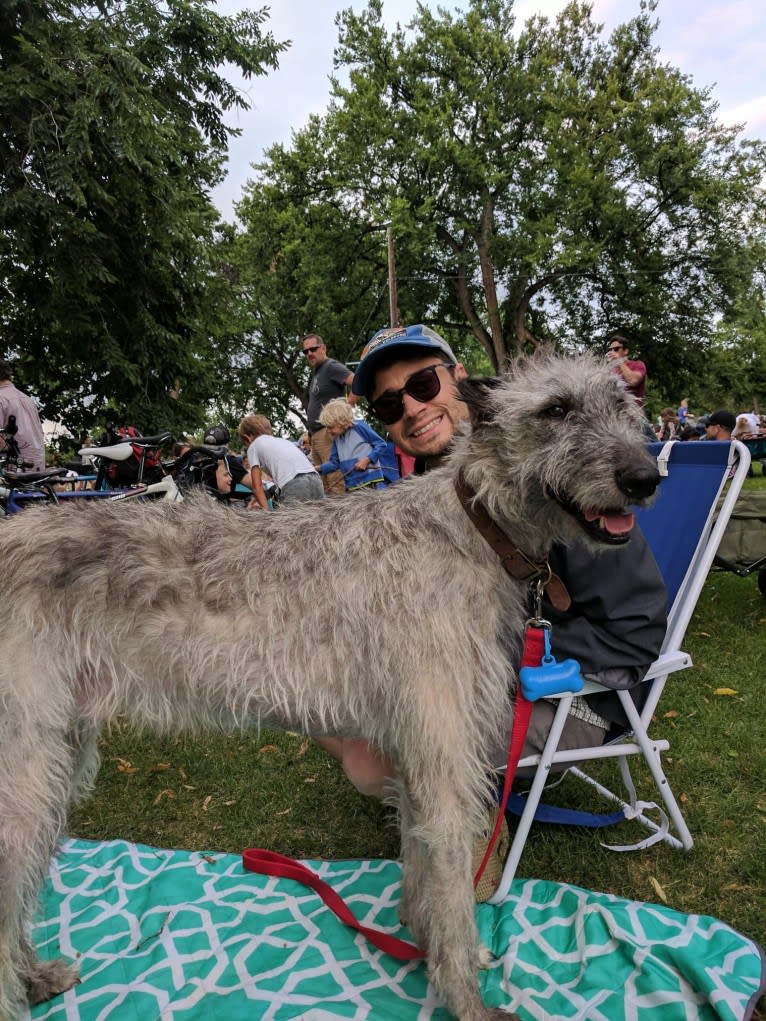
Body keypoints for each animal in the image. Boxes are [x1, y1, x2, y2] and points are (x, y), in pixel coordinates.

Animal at [0, 353, 661, 1021]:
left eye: (624, 406)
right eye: (556, 409)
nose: (645, 478)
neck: (472, 525)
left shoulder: (418, 754)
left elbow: (422, 862)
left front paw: (424, 940)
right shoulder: (445, 755)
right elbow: (450, 874)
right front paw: (466, 998)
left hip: (56, 757)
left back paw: (33, 978)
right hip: (23, 772)